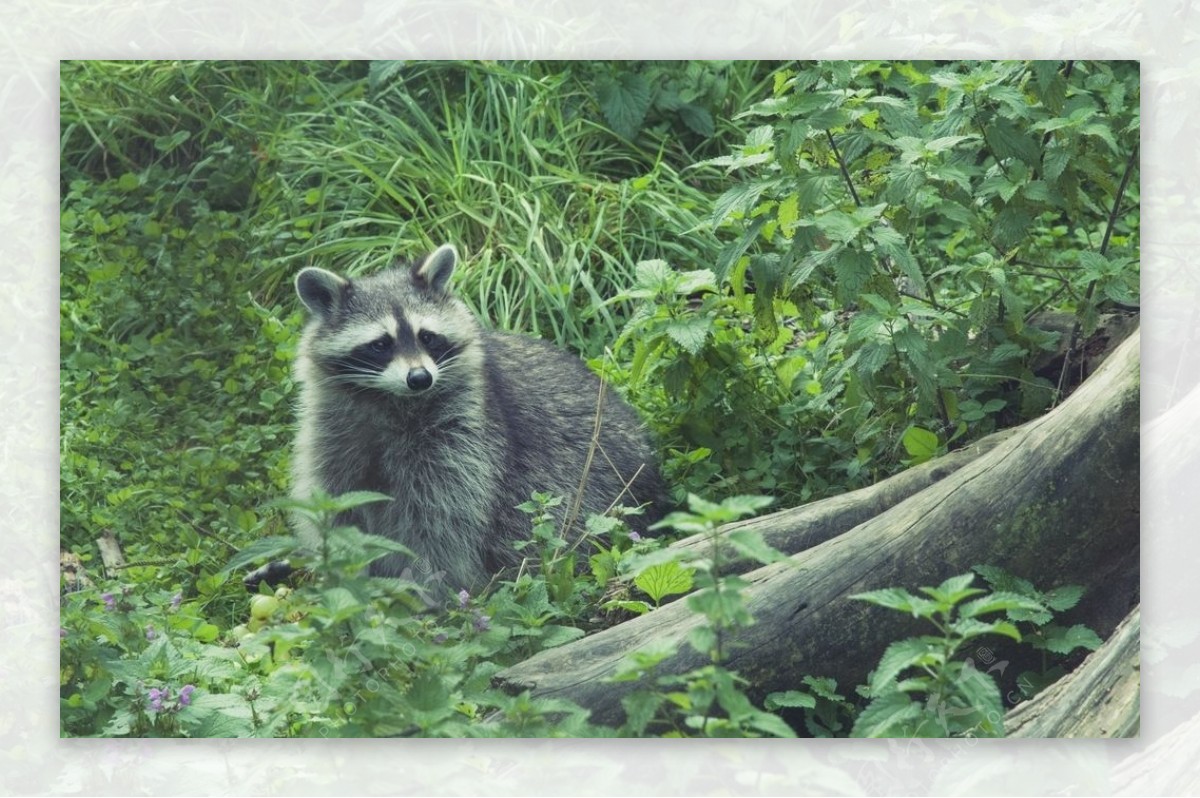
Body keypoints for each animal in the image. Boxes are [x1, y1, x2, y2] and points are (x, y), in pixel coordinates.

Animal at [290, 246, 667, 588]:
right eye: (380, 344)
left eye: (427, 336)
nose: (420, 378)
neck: (391, 401)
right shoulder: (335, 435)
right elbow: (338, 509)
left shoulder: (465, 437)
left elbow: (443, 519)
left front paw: (430, 585)